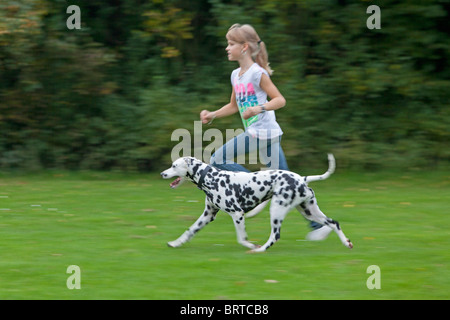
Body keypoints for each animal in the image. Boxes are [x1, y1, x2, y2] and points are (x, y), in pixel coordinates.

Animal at [160, 155, 354, 252]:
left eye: (174, 165)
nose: (163, 173)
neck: (212, 178)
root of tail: (301, 178)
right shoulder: (208, 215)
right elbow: (190, 231)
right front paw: (176, 243)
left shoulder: (237, 214)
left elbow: (242, 238)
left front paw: (251, 245)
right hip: (309, 211)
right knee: (334, 223)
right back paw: (347, 243)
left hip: (276, 210)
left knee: (275, 236)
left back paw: (259, 250)